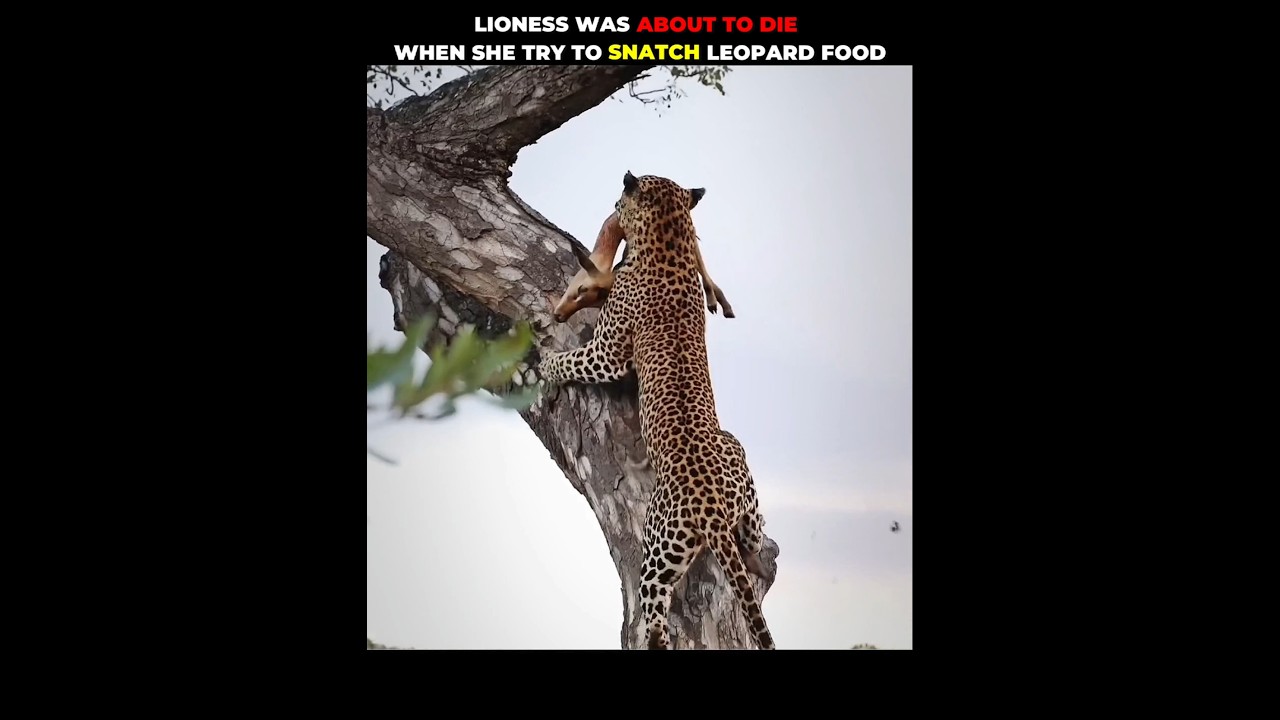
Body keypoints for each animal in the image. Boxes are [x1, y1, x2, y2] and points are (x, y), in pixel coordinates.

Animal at [538, 171, 775, 650]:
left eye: (621, 197)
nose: (611, 203)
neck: (670, 240)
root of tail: (711, 505)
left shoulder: (608, 353)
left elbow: (572, 359)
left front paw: (546, 362)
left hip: (659, 546)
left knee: (655, 614)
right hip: (739, 468)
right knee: (753, 534)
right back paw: (758, 545)